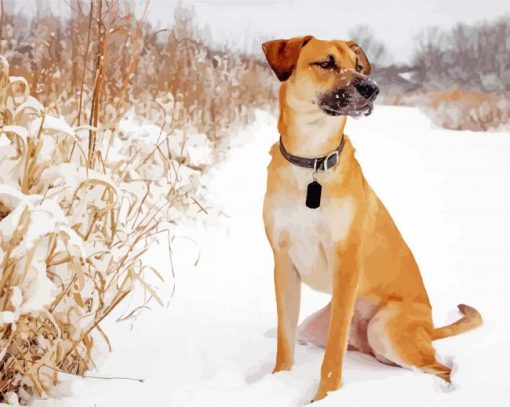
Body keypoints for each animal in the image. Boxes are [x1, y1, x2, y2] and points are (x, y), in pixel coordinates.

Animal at [260, 36, 480, 404]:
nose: (371, 88)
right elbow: (284, 341)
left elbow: (332, 356)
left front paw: (324, 397)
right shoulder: (283, 264)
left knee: (440, 367)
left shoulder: (346, 264)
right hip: (322, 325)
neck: (312, 161)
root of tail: (429, 327)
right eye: (326, 63)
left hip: (385, 328)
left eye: (358, 66)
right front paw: (275, 382)